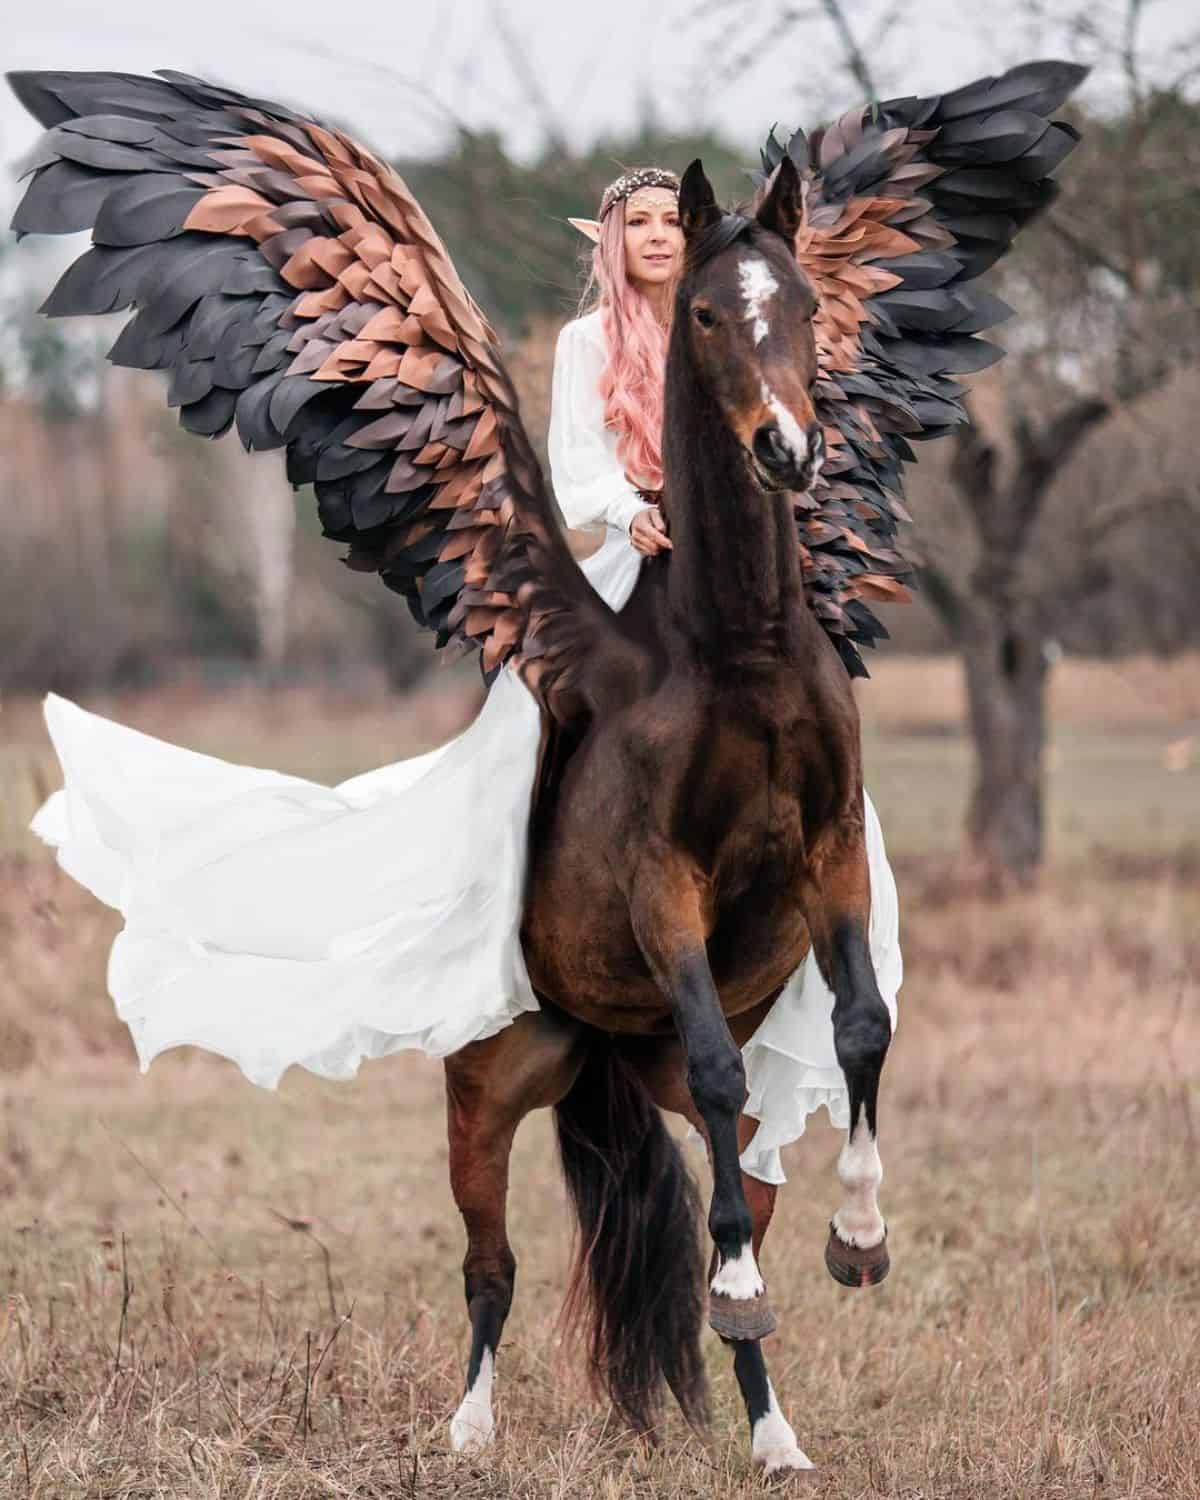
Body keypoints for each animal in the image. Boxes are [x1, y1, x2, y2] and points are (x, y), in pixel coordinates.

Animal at [444, 155, 888, 1476]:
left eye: (805, 303)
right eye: (701, 313)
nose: (788, 449)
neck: (739, 648)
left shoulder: (831, 854)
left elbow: (863, 1025)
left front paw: (862, 1236)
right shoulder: (665, 885)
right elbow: (720, 1057)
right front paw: (751, 1280)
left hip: (649, 1092)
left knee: (740, 1192)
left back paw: (776, 1435)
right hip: (485, 1097)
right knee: (491, 1267)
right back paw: (470, 1430)